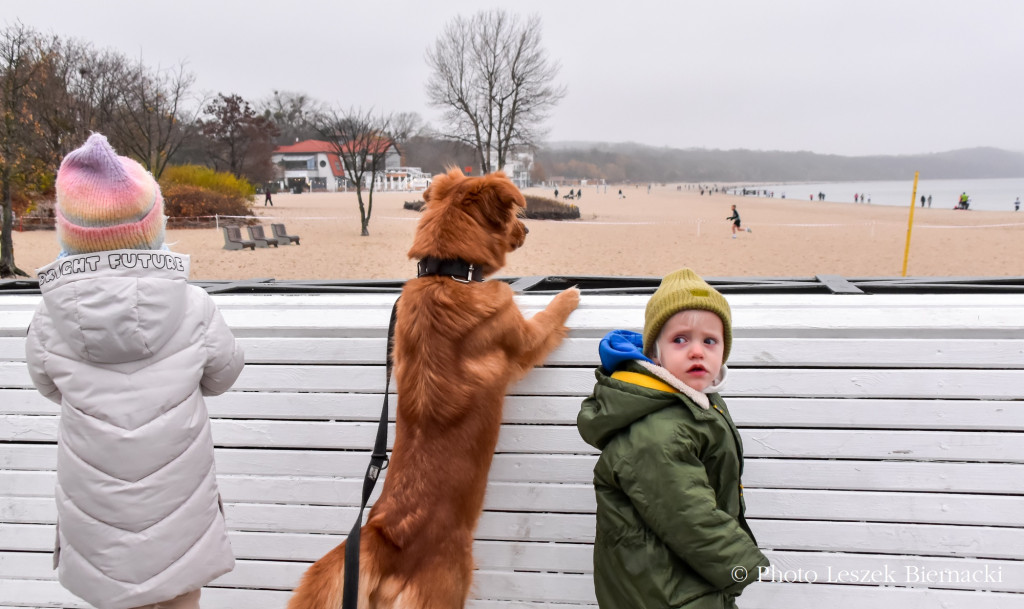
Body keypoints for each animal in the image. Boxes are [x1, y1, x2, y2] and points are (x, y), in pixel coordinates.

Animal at [288, 167, 581, 609]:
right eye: (515, 216)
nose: (528, 229)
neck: (447, 273)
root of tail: (386, 534)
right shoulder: (525, 340)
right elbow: (548, 318)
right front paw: (568, 293)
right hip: (450, 586)